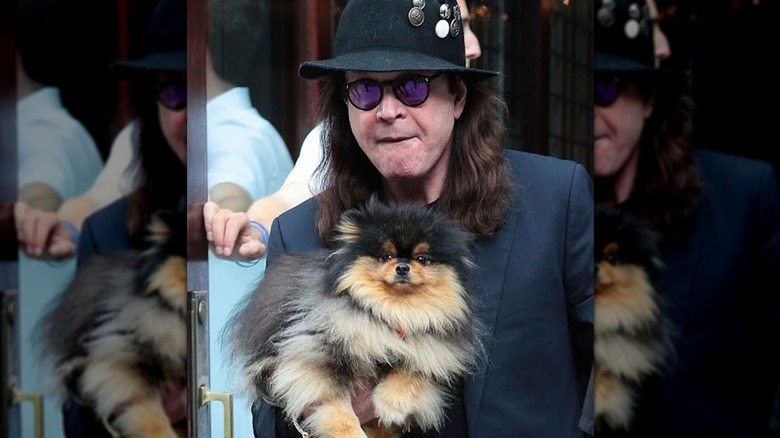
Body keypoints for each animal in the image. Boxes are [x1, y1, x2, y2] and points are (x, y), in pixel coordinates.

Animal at [222, 198, 484, 438]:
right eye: (385, 256)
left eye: (422, 259)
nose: (402, 267)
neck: (391, 311)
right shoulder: (317, 353)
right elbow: (336, 407)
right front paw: (351, 433)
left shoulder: (432, 350)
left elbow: (412, 371)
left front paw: (390, 404)